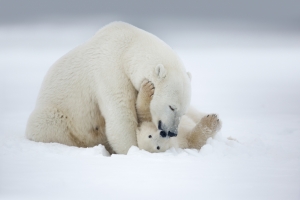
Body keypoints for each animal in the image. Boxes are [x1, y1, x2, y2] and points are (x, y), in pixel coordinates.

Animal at [25, 21, 190, 154]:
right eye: (172, 107)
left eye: (183, 111)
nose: (172, 132)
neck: (127, 47)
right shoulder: (110, 71)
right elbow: (120, 115)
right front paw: (133, 149)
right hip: (57, 116)